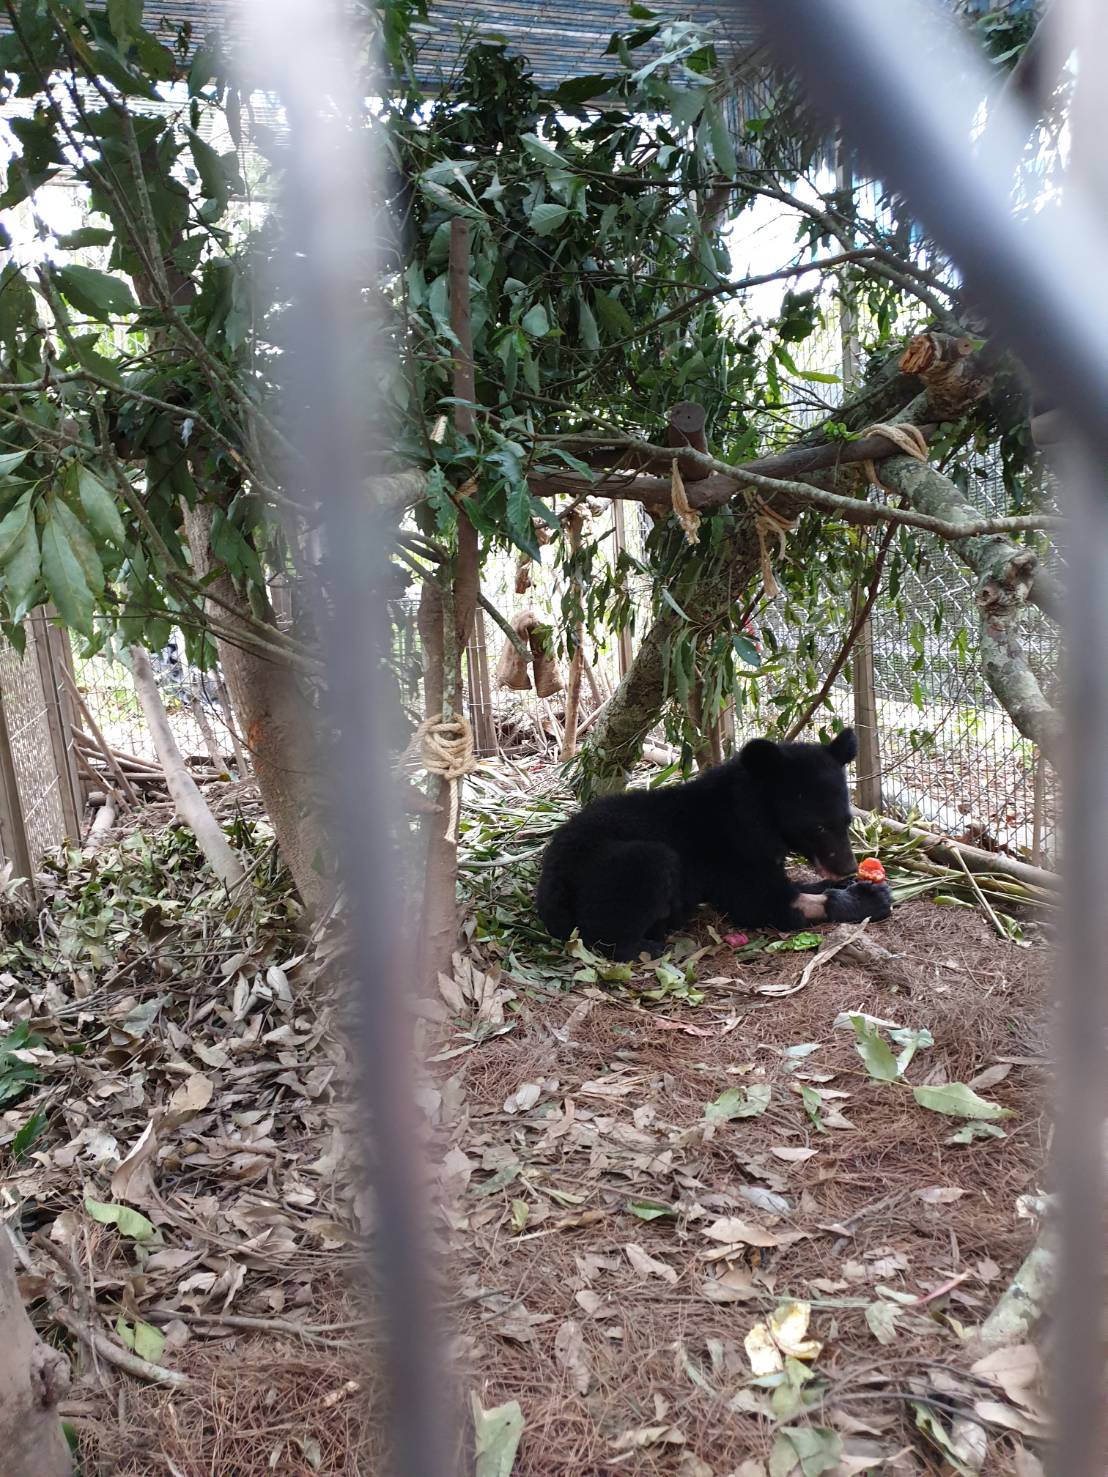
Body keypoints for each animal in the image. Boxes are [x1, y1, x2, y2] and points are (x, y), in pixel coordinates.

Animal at [535, 728, 892, 960]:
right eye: (816, 827)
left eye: (847, 821)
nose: (846, 866)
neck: (754, 812)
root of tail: (549, 885)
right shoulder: (729, 850)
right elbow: (760, 901)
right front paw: (869, 898)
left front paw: (856, 884)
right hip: (618, 867)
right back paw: (646, 947)